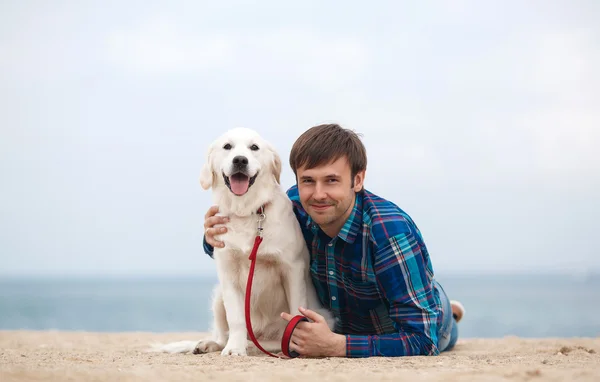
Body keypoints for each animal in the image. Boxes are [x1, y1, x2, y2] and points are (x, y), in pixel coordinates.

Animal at [155, 127, 332, 356]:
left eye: (254, 147)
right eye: (227, 146)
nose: (240, 160)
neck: (247, 212)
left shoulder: (292, 268)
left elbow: (295, 315)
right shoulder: (228, 272)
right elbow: (236, 319)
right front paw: (234, 349)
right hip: (218, 296)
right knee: (223, 335)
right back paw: (212, 344)